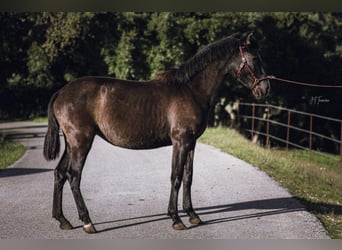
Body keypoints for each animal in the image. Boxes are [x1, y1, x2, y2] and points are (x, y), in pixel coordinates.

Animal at [44, 32, 272, 233]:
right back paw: (87, 222)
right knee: (74, 177)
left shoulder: (191, 143)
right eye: (255, 58)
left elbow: (188, 177)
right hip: (81, 142)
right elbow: (176, 177)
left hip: (72, 144)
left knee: (59, 174)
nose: (265, 88)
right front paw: (176, 219)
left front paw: (193, 215)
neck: (191, 90)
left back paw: (62, 220)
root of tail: (61, 92)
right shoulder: (180, 141)